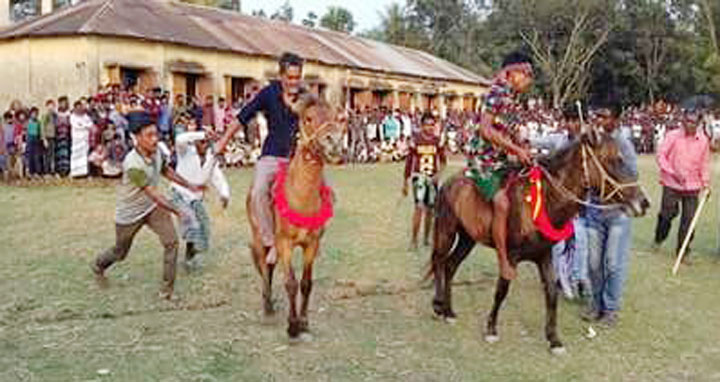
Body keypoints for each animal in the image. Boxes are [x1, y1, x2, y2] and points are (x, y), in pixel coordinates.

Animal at [430, 133, 648, 354]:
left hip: (468, 238)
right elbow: (502, 290)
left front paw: (554, 339)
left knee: (450, 265)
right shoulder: (510, 256)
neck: (545, 200)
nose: (644, 203)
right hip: (446, 231)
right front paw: (491, 329)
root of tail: (449, 182)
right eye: (613, 160)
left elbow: (551, 294)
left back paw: (448, 311)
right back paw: (438, 305)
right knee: (439, 260)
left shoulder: (544, 255)